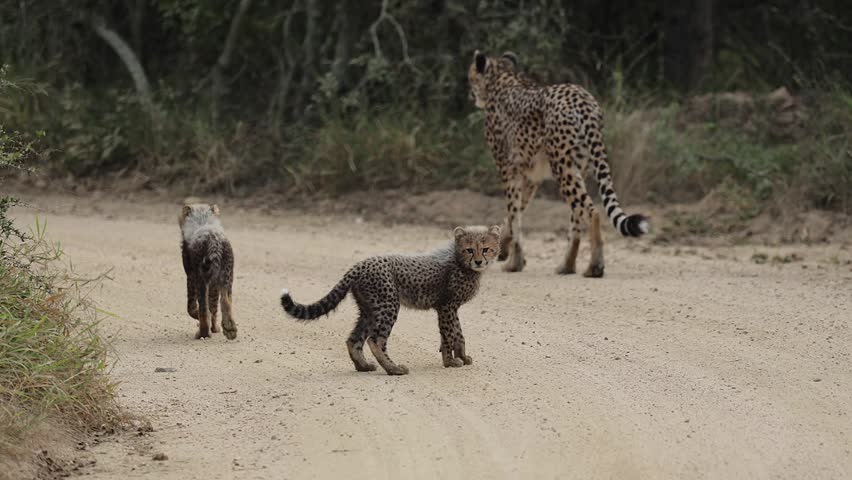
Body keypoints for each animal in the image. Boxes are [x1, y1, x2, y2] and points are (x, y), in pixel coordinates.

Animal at [179, 203, 237, 340]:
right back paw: (230, 329)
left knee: (204, 308)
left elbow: (192, 306)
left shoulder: (191, 275)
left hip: (201, 278)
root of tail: (213, 239)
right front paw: (215, 328)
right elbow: (214, 306)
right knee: (225, 301)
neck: (203, 220)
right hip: (226, 276)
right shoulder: (214, 282)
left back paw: (202, 333)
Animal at [279, 225, 500, 376]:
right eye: (469, 250)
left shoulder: (448, 308)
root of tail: (361, 264)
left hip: (369, 308)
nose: (479, 261)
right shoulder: (447, 306)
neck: (460, 262)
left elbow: (458, 333)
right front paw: (450, 362)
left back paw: (364, 366)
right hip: (388, 305)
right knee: (375, 340)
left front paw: (462, 356)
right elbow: (449, 334)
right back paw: (393, 369)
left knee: (354, 339)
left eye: (486, 249)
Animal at [468, 50, 649, 278]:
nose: (470, 94)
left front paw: (513, 262)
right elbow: (512, 215)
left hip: (563, 168)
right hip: (576, 168)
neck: (502, 78)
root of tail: (583, 98)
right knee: (576, 218)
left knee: (592, 212)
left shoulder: (509, 171)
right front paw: (506, 251)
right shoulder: (530, 178)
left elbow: (514, 215)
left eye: (470, 77)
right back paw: (567, 265)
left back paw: (594, 266)